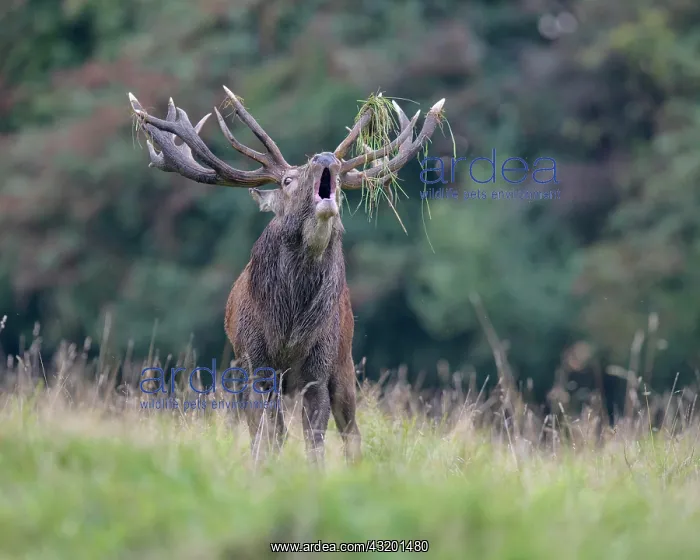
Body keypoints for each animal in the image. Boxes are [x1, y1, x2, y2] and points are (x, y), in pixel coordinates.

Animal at [128, 87, 445, 465]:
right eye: (287, 180)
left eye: (340, 180)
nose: (325, 157)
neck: (288, 326)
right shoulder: (255, 362)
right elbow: (264, 433)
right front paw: (258, 468)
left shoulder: (319, 366)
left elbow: (314, 438)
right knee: (272, 429)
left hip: (345, 361)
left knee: (350, 430)